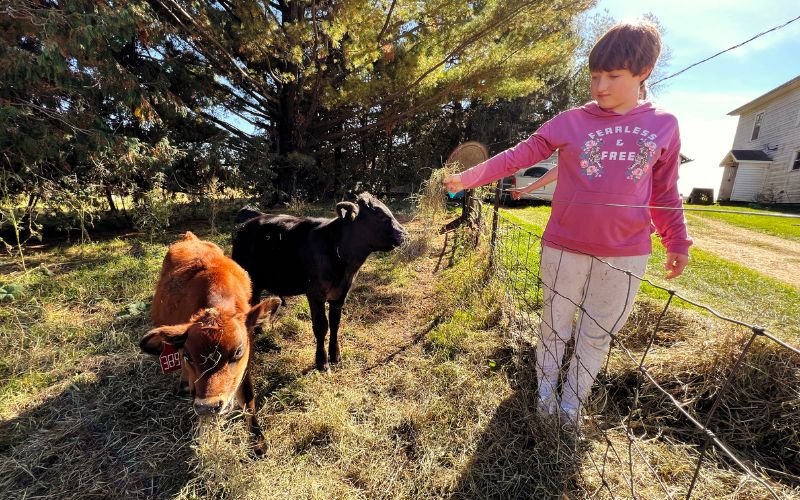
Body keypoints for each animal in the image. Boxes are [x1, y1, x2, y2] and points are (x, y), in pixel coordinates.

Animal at [136, 232, 276, 456]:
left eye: (238, 352)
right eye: (188, 355)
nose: (207, 407)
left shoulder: (245, 362)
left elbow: (248, 397)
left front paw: (257, 442)